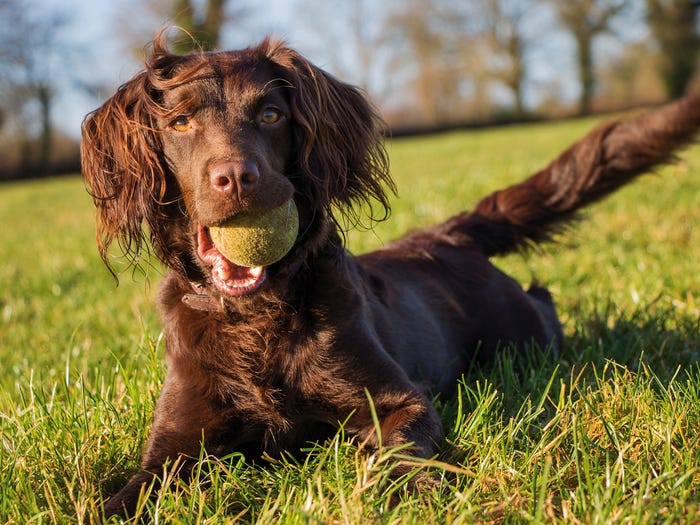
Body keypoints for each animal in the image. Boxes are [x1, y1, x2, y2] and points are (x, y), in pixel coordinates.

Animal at [79, 34, 696, 516]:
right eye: (181, 122)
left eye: (271, 115)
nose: (235, 178)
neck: (257, 315)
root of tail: (446, 234)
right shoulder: (175, 445)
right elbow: (125, 496)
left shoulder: (400, 400)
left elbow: (398, 454)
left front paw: (411, 496)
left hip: (522, 335)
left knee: (541, 303)